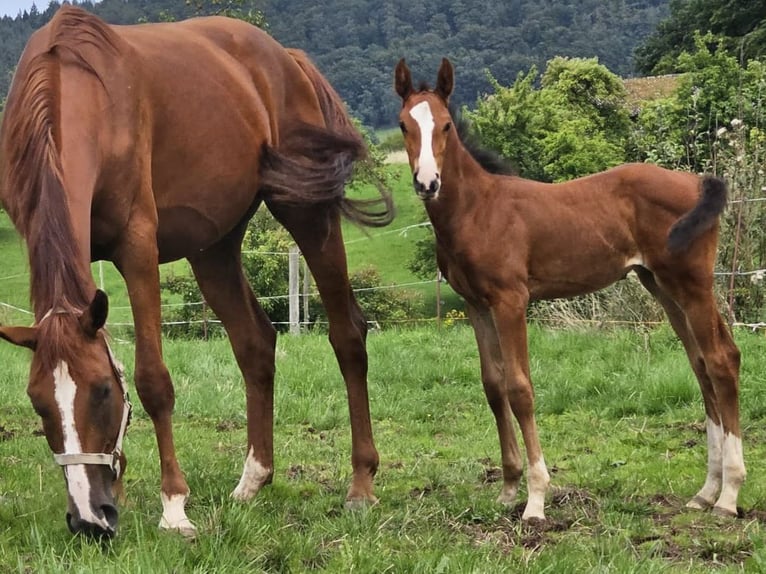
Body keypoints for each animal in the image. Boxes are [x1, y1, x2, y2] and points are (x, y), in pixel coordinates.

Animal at [0, 4, 392, 536]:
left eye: (101, 392)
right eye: (38, 402)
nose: (90, 520)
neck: (72, 88)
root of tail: (285, 59)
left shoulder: (137, 247)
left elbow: (152, 380)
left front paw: (173, 506)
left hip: (307, 214)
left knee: (347, 334)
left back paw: (360, 484)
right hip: (214, 248)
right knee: (255, 343)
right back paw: (253, 480)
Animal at [400, 57, 748, 520]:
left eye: (445, 126)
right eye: (404, 125)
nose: (428, 183)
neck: (479, 210)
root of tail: (696, 182)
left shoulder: (511, 301)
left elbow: (520, 388)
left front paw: (535, 499)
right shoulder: (476, 304)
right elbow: (493, 386)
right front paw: (507, 489)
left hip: (692, 284)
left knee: (722, 360)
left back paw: (728, 497)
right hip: (661, 285)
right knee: (702, 365)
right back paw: (706, 492)